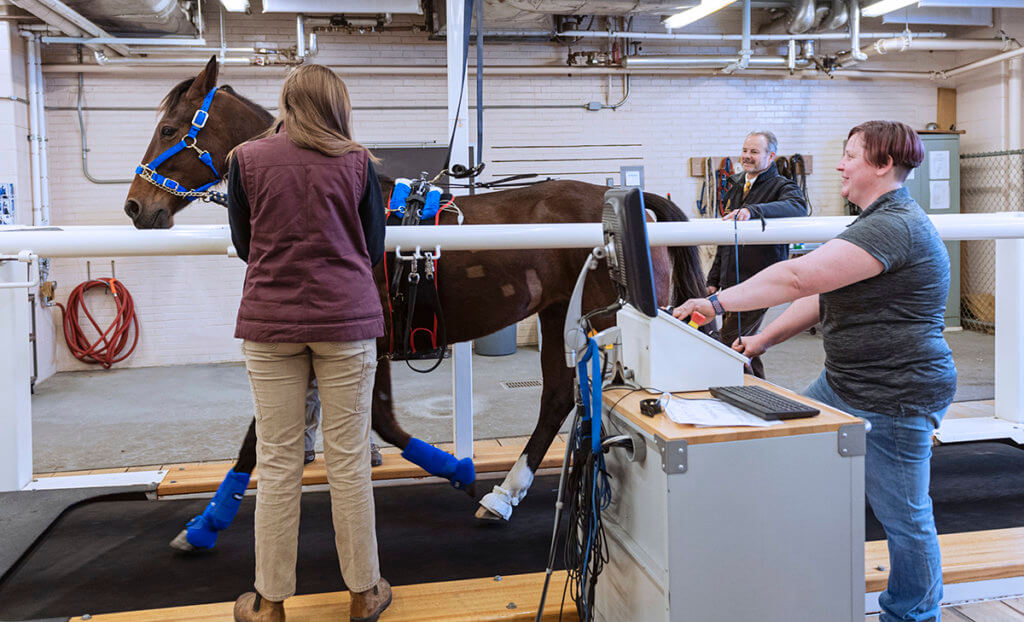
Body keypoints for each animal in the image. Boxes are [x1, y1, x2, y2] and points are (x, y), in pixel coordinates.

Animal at [125, 55, 704, 549]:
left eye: (169, 130)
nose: (135, 205)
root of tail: (631, 201)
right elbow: (298, 429)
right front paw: (208, 521)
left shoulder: (364, 339)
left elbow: (355, 424)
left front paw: (206, 525)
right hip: (558, 311)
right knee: (558, 395)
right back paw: (505, 495)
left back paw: (507, 492)